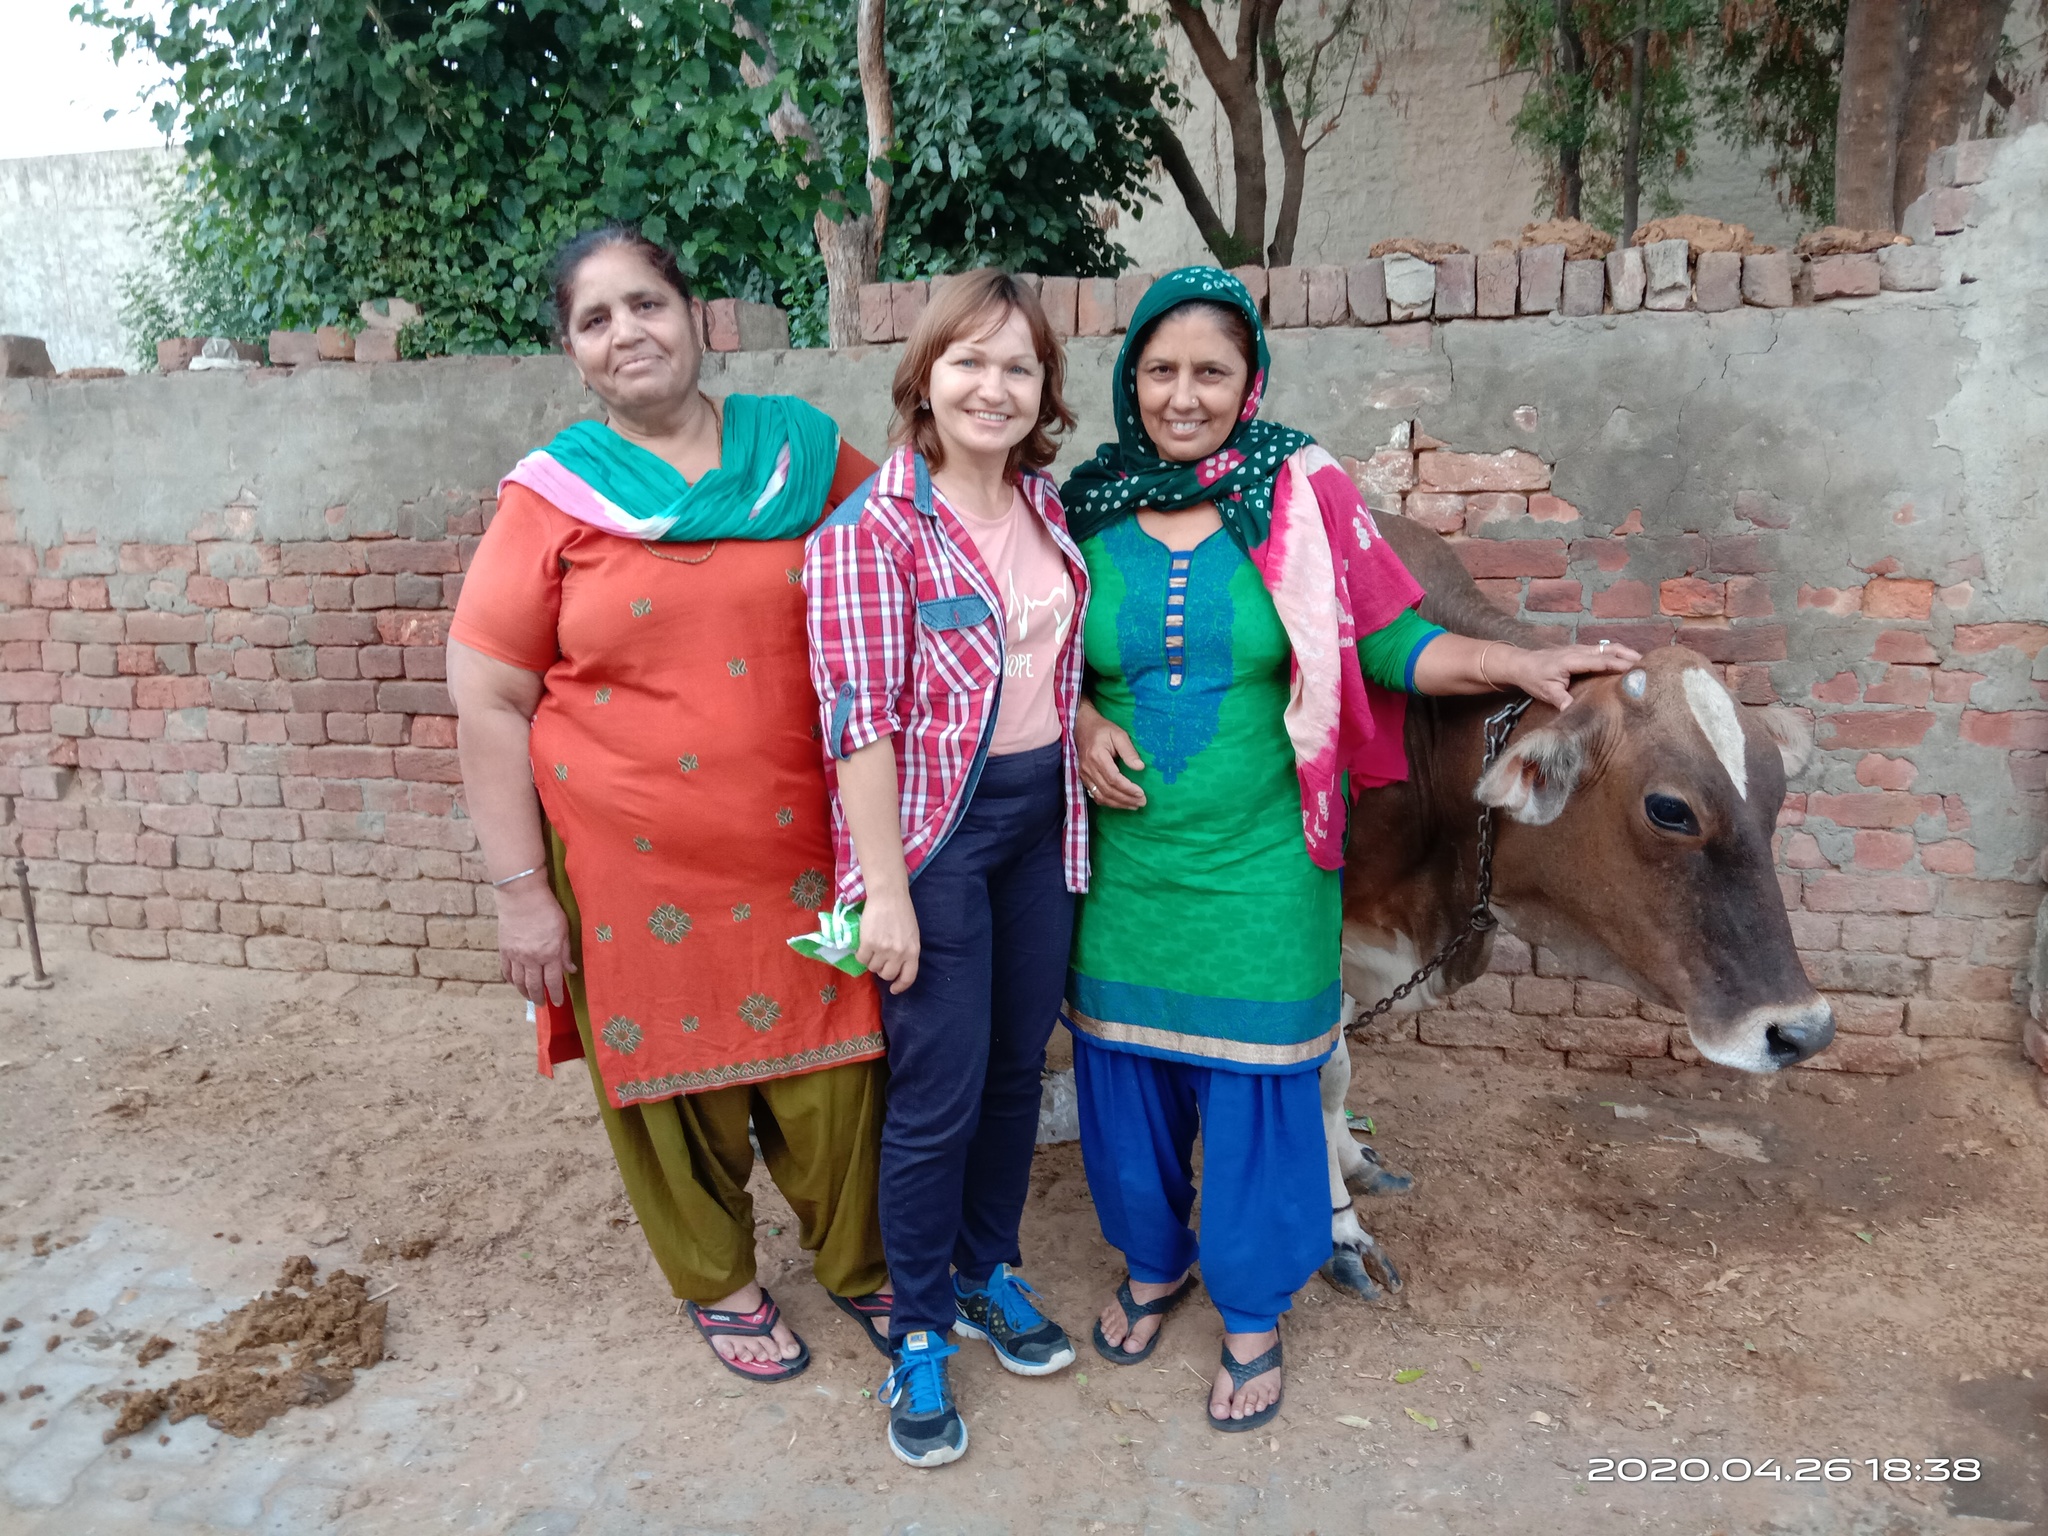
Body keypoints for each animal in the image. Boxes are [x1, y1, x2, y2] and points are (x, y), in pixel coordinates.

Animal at [1318, 514, 1835, 1302]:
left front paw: (1353, 1162)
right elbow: (1315, 1073)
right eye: (1670, 809)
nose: (1802, 1032)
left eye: (1776, 796)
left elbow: (1338, 1070)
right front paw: (1339, 1230)